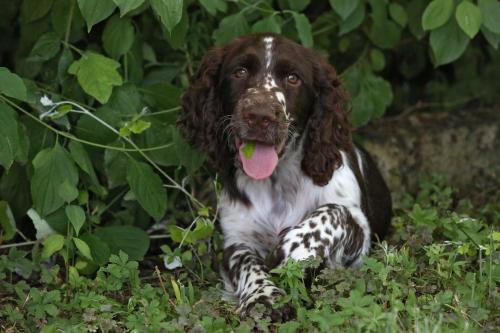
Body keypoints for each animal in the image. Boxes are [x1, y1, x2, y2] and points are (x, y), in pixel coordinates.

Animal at [178, 33, 392, 316]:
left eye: (293, 78)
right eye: (240, 71)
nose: (259, 116)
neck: (277, 182)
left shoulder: (361, 234)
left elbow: (334, 212)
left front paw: (293, 250)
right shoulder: (237, 238)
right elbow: (246, 262)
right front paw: (262, 295)